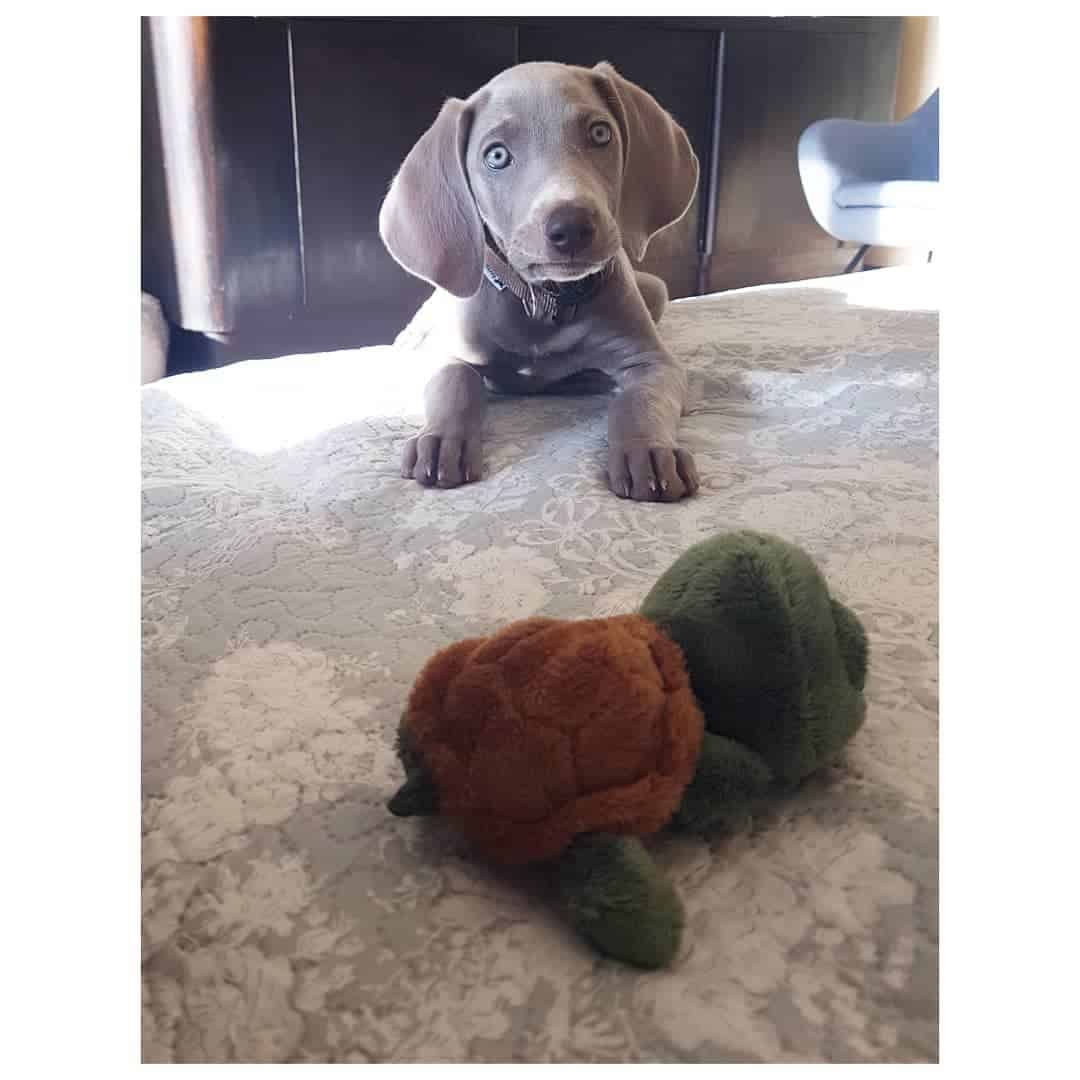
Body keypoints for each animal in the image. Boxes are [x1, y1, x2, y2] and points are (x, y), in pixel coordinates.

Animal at [378, 65, 699, 503]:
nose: (572, 226)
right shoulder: (449, 354)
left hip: (655, 289)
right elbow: (455, 380)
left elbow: (640, 399)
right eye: (496, 155)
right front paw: (442, 440)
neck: (542, 301)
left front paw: (648, 451)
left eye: (601, 133)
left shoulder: (651, 360)